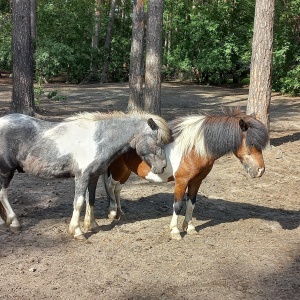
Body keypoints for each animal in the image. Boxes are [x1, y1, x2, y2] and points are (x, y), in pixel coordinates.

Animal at [0, 110, 170, 239]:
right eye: (157, 141)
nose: (162, 167)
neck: (98, 140)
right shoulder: (81, 177)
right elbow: (79, 202)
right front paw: (77, 231)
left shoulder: (93, 177)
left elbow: (91, 199)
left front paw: (92, 225)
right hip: (6, 171)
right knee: (3, 194)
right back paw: (14, 223)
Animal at [99, 108, 268, 239]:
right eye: (251, 143)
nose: (260, 170)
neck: (194, 149)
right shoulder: (181, 181)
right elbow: (178, 205)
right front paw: (175, 231)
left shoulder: (196, 181)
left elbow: (191, 204)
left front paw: (190, 227)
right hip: (118, 170)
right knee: (110, 186)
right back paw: (112, 212)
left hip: (125, 171)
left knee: (117, 188)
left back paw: (120, 213)